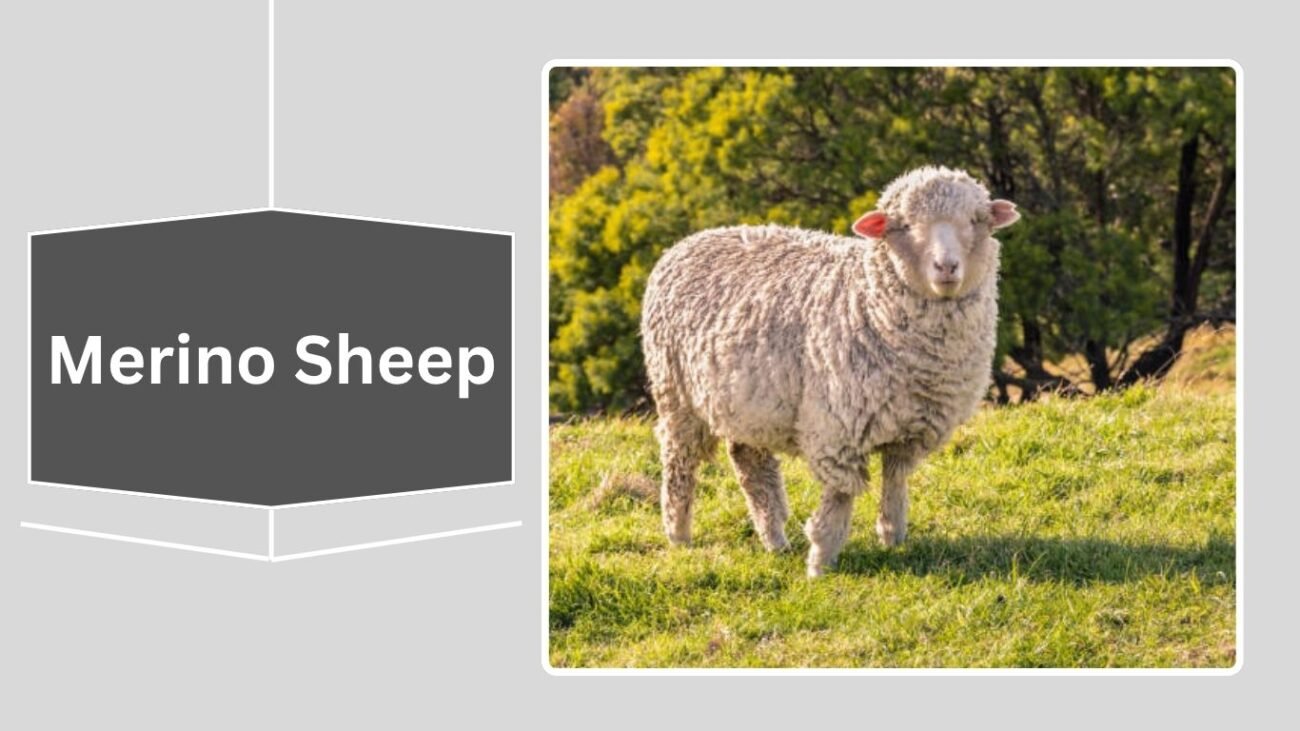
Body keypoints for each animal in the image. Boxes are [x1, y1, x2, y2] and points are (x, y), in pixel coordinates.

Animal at [640, 166, 1021, 577]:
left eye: (976, 221)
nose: (946, 267)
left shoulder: (911, 427)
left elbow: (895, 480)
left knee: (751, 465)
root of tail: (685, 242)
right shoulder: (839, 428)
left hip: (747, 403)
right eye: (903, 225)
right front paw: (821, 562)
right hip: (675, 392)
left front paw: (892, 536)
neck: (867, 297)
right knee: (679, 460)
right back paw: (679, 533)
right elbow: (840, 497)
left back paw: (774, 538)